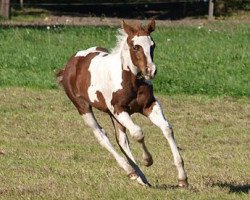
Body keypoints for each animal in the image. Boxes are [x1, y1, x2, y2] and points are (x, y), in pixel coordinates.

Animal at [56, 20, 188, 188]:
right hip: (83, 107)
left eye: (153, 45)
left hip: (113, 115)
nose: (150, 70)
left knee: (121, 140)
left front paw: (182, 178)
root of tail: (70, 65)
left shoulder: (149, 106)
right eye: (136, 47)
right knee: (102, 135)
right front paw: (148, 160)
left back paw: (140, 177)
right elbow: (138, 133)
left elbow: (167, 129)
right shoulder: (119, 109)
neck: (131, 81)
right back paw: (131, 172)